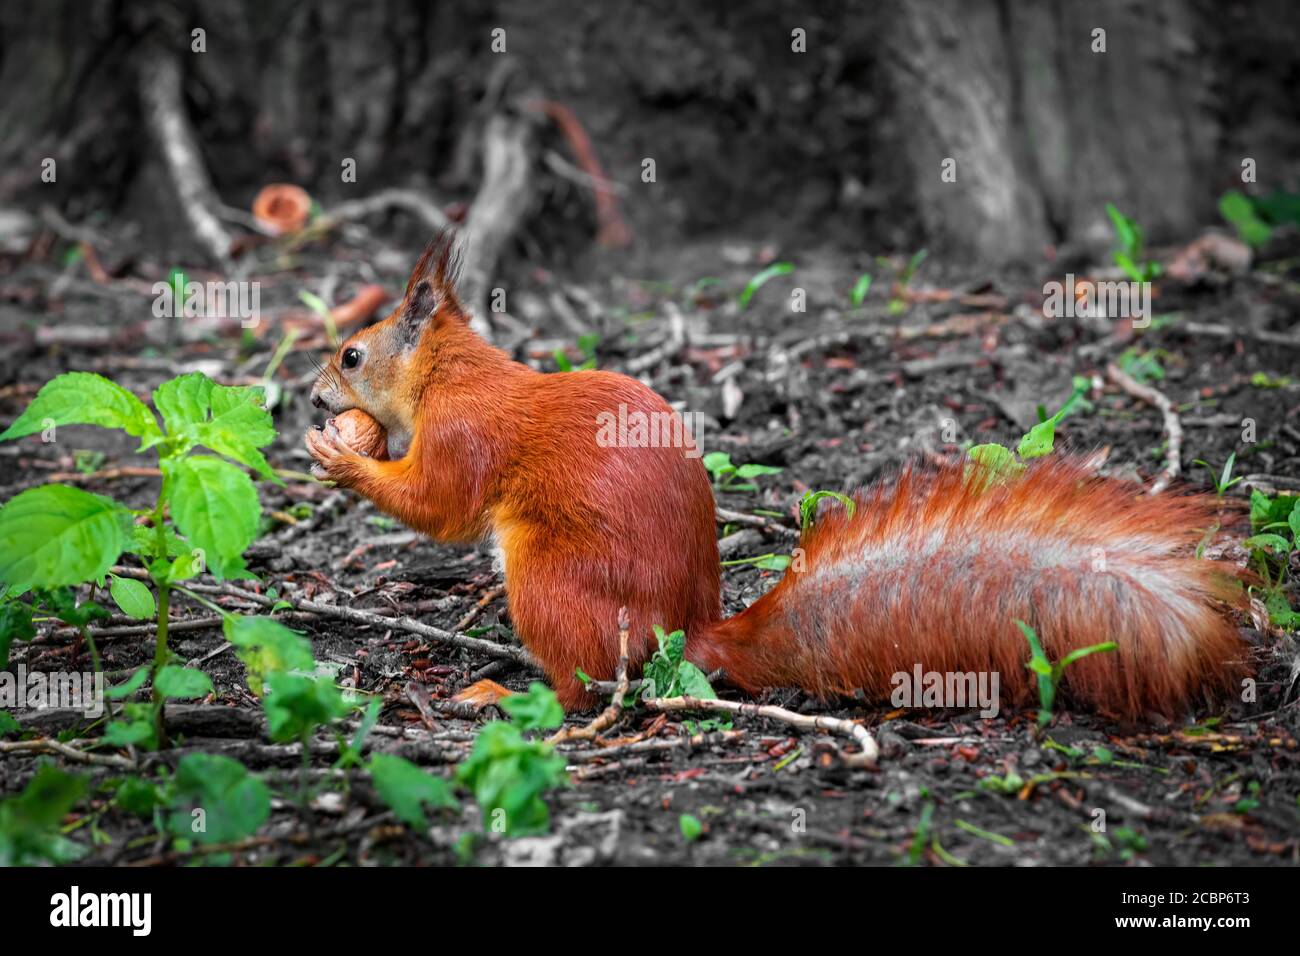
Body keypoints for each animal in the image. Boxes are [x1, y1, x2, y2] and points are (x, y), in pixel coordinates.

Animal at [306, 238, 1248, 717]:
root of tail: (689, 634)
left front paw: (342, 456)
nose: (311, 397)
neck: (448, 375)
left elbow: (440, 505)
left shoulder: (466, 437)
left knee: (583, 691)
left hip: (549, 581)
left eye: (351, 354)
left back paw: (505, 692)